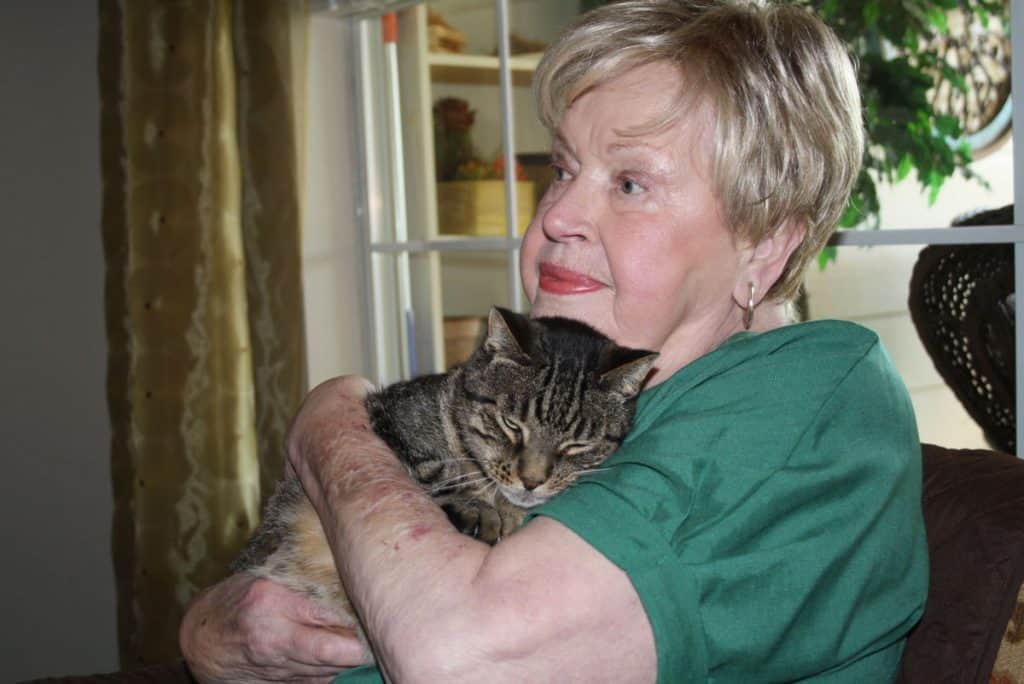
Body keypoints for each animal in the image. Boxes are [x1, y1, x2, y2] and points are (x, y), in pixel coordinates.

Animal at [231, 306, 657, 659]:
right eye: (511, 424)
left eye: (576, 444)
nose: (532, 481)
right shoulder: (389, 415)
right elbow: (441, 470)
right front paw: (480, 507)